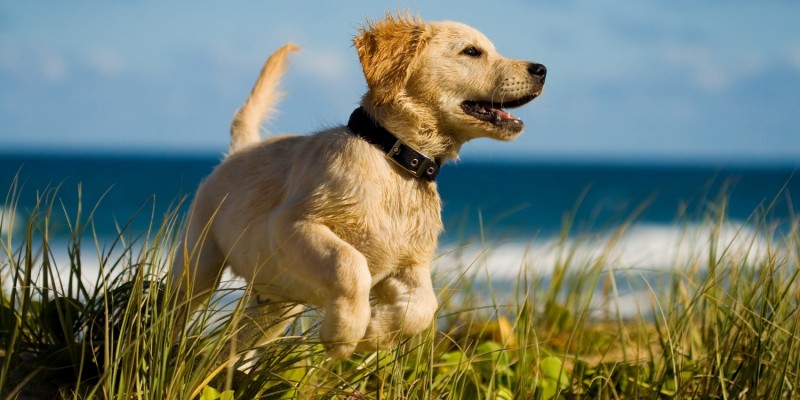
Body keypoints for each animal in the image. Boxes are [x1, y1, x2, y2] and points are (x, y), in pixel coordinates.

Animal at [169, 13, 544, 360]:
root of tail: (240, 150)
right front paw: (344, 334)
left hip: (275, 306)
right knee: (172, 309)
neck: (394, 159)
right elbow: (350, 264)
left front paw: (375, 333)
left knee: (229, 350)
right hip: (198, 264)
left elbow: (424, 306)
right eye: (472, 51)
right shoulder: (292, 225)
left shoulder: (409, 263)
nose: (541, 69)